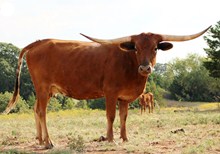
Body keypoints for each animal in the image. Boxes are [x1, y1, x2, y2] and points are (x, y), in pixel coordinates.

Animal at [3, 26, 210, 148]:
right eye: (136, 48)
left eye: (155, 48)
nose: (145, 68)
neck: (129, 64)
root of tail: (38, 43)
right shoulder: (110, 92)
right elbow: (111, 115)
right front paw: (110, 138)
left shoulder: (124, 97)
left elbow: (124, 117)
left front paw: (125, 138)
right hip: (43, 87)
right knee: (42, 112)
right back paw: (48, 142)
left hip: (45, 91)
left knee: (35, 109)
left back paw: (39, 140)